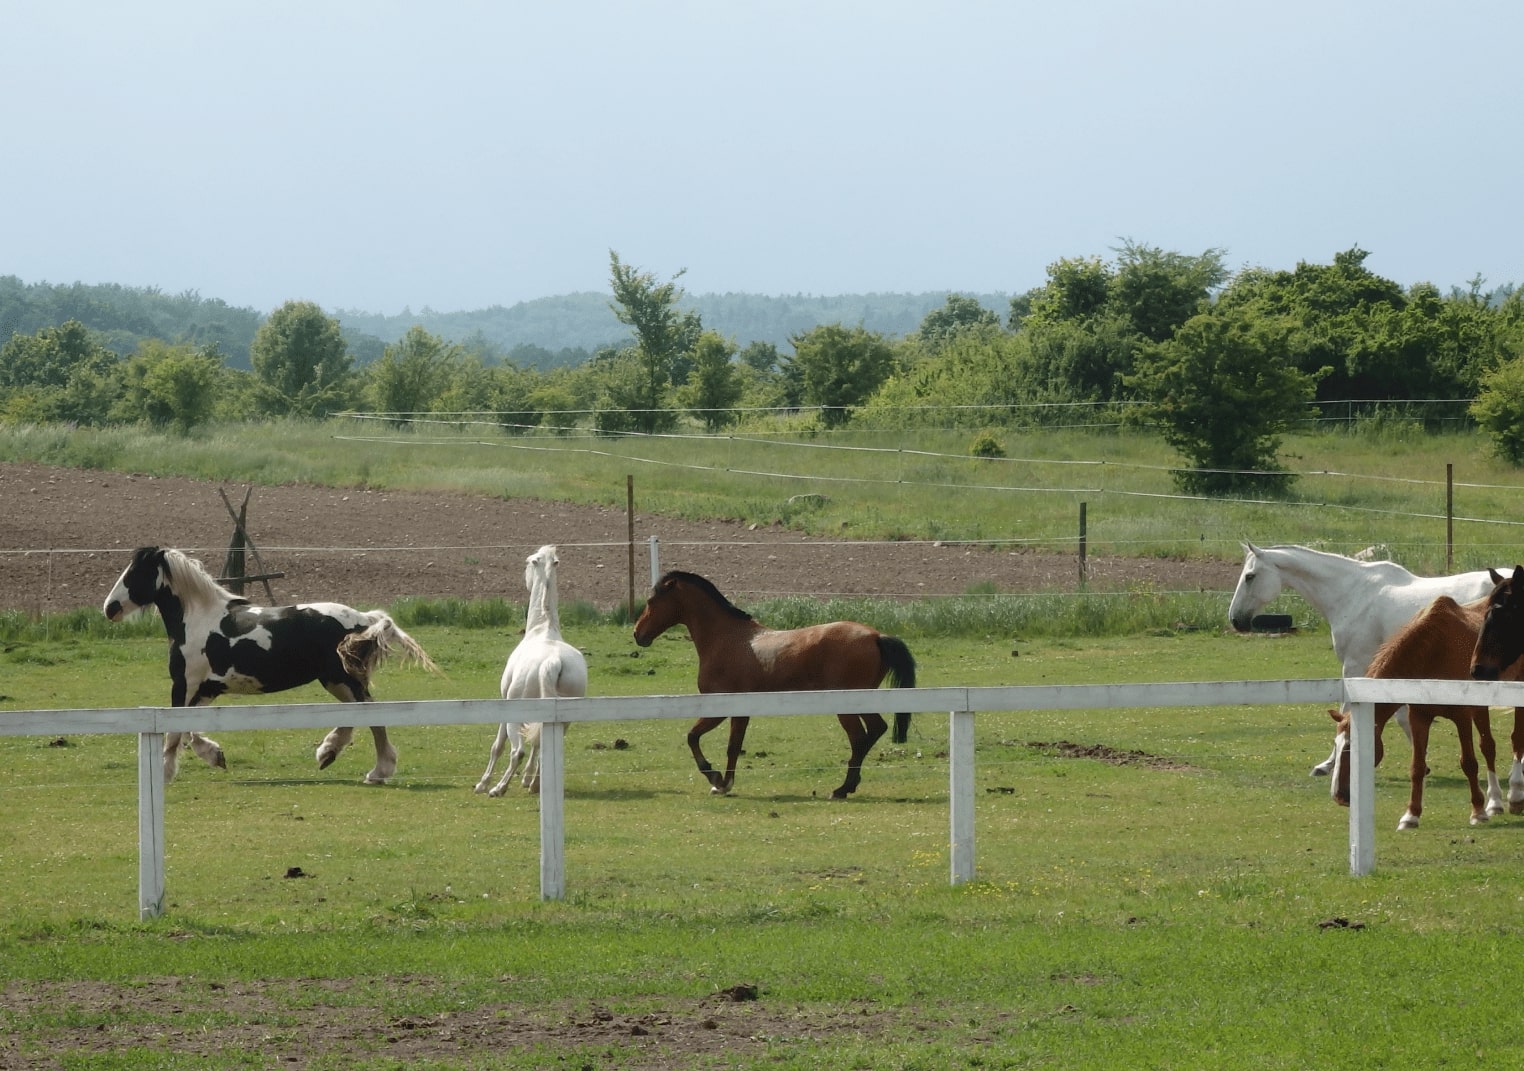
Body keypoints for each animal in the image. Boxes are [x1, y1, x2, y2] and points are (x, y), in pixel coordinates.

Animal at [103, 548, 438, 786]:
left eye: (135, 573)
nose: (110, 608)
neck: (196, 620)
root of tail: (365, 619)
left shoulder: (185, 685)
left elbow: (174, 734)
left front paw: (163, 774)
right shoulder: (206, 690)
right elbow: (189, 732)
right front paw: (216, 756)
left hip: (343, 678)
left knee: (372, 716)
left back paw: (374, 771)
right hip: (337, 680)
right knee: (357, 715)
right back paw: (329, 754)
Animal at [472, 545, 585, 798]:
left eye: (527, 563)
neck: (542, 629)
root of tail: (554, 661)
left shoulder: (505, 706)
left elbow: (498, 746)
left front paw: (483, 783)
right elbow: (537, 743)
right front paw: (527, 780)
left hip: (516, 716)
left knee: (518, 752)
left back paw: (498, 788)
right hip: (564, 721)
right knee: (544, 747)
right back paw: (535, 784)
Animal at [630, 572, 914, 798]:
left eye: (651, 602)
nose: (637, 634)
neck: (727, 638)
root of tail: (876, 636)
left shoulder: (719, 710)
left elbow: (694, 738)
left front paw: (716, 778)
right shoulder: (740, 713)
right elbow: (733, 746)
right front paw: (724, 783)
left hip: (847, 705)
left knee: (859, 738)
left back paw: (842, 789)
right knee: (874, 730)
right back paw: (849, 785)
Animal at [1225, 545, 1499, 780]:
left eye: (1250, 576)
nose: (1236, 620)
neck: (1352, 593)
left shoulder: (1354, 665)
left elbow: (1346, 711)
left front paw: (1328, 764)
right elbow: (1401, 717)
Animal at [1322, 585, 1524, 828]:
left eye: (1351, 747)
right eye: (1336, 745)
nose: (1338, 795)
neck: (1435, 649)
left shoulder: (1462, 716)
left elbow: (1469, 762)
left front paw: (1477, 811)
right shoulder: (1418, 716)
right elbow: (1417, 766)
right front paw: (1411, 815)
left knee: (1512, 741)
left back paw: (1512, 795)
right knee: (1488, 746)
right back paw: (1495, 802)